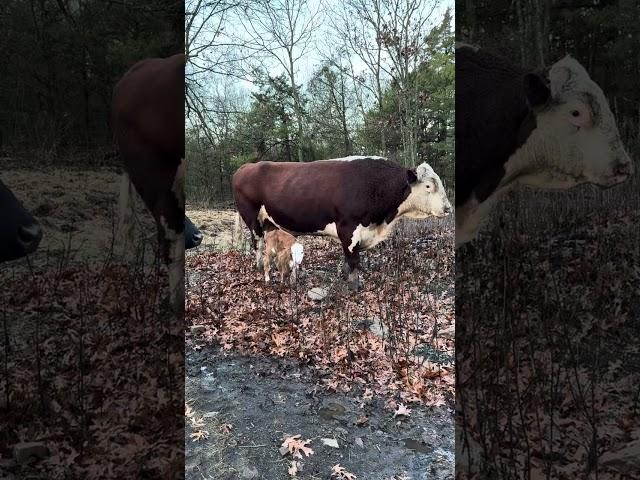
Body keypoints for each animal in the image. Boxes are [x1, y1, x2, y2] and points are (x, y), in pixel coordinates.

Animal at [232, 157, 452, 288]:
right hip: (252, 218)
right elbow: (353, 260)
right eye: (428, 186)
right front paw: (354, 285)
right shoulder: (348, 228)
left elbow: (351, 260)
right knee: (257, 244)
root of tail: (246, 166)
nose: (448, 208)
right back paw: (260, 266)